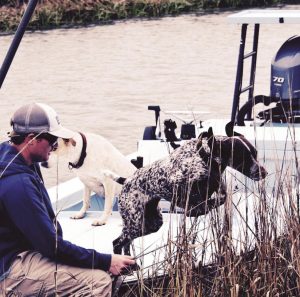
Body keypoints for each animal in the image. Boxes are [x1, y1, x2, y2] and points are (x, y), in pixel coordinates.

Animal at [106, 127, 268, 254]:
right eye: (242, 156)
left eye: (255, 153)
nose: (264, 172)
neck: (204, 157)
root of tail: (126, 181)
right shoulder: (177, 187)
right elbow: (193, 205)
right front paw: (197, 210)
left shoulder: (217, 186)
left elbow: (221, 197)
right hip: (135, 223)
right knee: (117, 243)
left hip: (149, 224)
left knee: (125, 243)